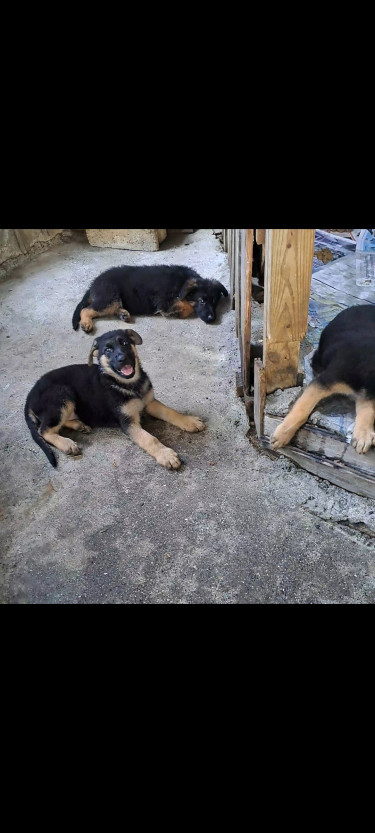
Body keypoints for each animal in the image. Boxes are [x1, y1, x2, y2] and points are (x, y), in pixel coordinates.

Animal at [24, 326, 206, 468]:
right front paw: (166, 455)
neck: (129, 385)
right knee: (44, 430)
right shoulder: (128, 422)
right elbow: (149, 439)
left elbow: (170, 411)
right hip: (62, 395)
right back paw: (67, 443)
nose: (122, 358)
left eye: (124, 343)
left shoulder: (149, 402)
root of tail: (29, 397)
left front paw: (189, 421)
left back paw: (79, 425)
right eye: (108, 350)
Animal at [71, 264, 228, 334]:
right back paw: (86, 323)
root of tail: (93, 284)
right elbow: (186, 306)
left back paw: (123, 314)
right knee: (86, 309)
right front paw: (179, 312)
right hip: (109, 297)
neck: (182, 282)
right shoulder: (164, 301)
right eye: (201, 301)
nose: (212, 319)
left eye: (215, 302)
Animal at [272, 304, 375, 452]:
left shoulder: (366, 392)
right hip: (318, 358)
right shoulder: (325, 381)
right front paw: (283, 434)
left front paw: (363, 434)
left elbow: (368, 409)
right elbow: (302, 409)